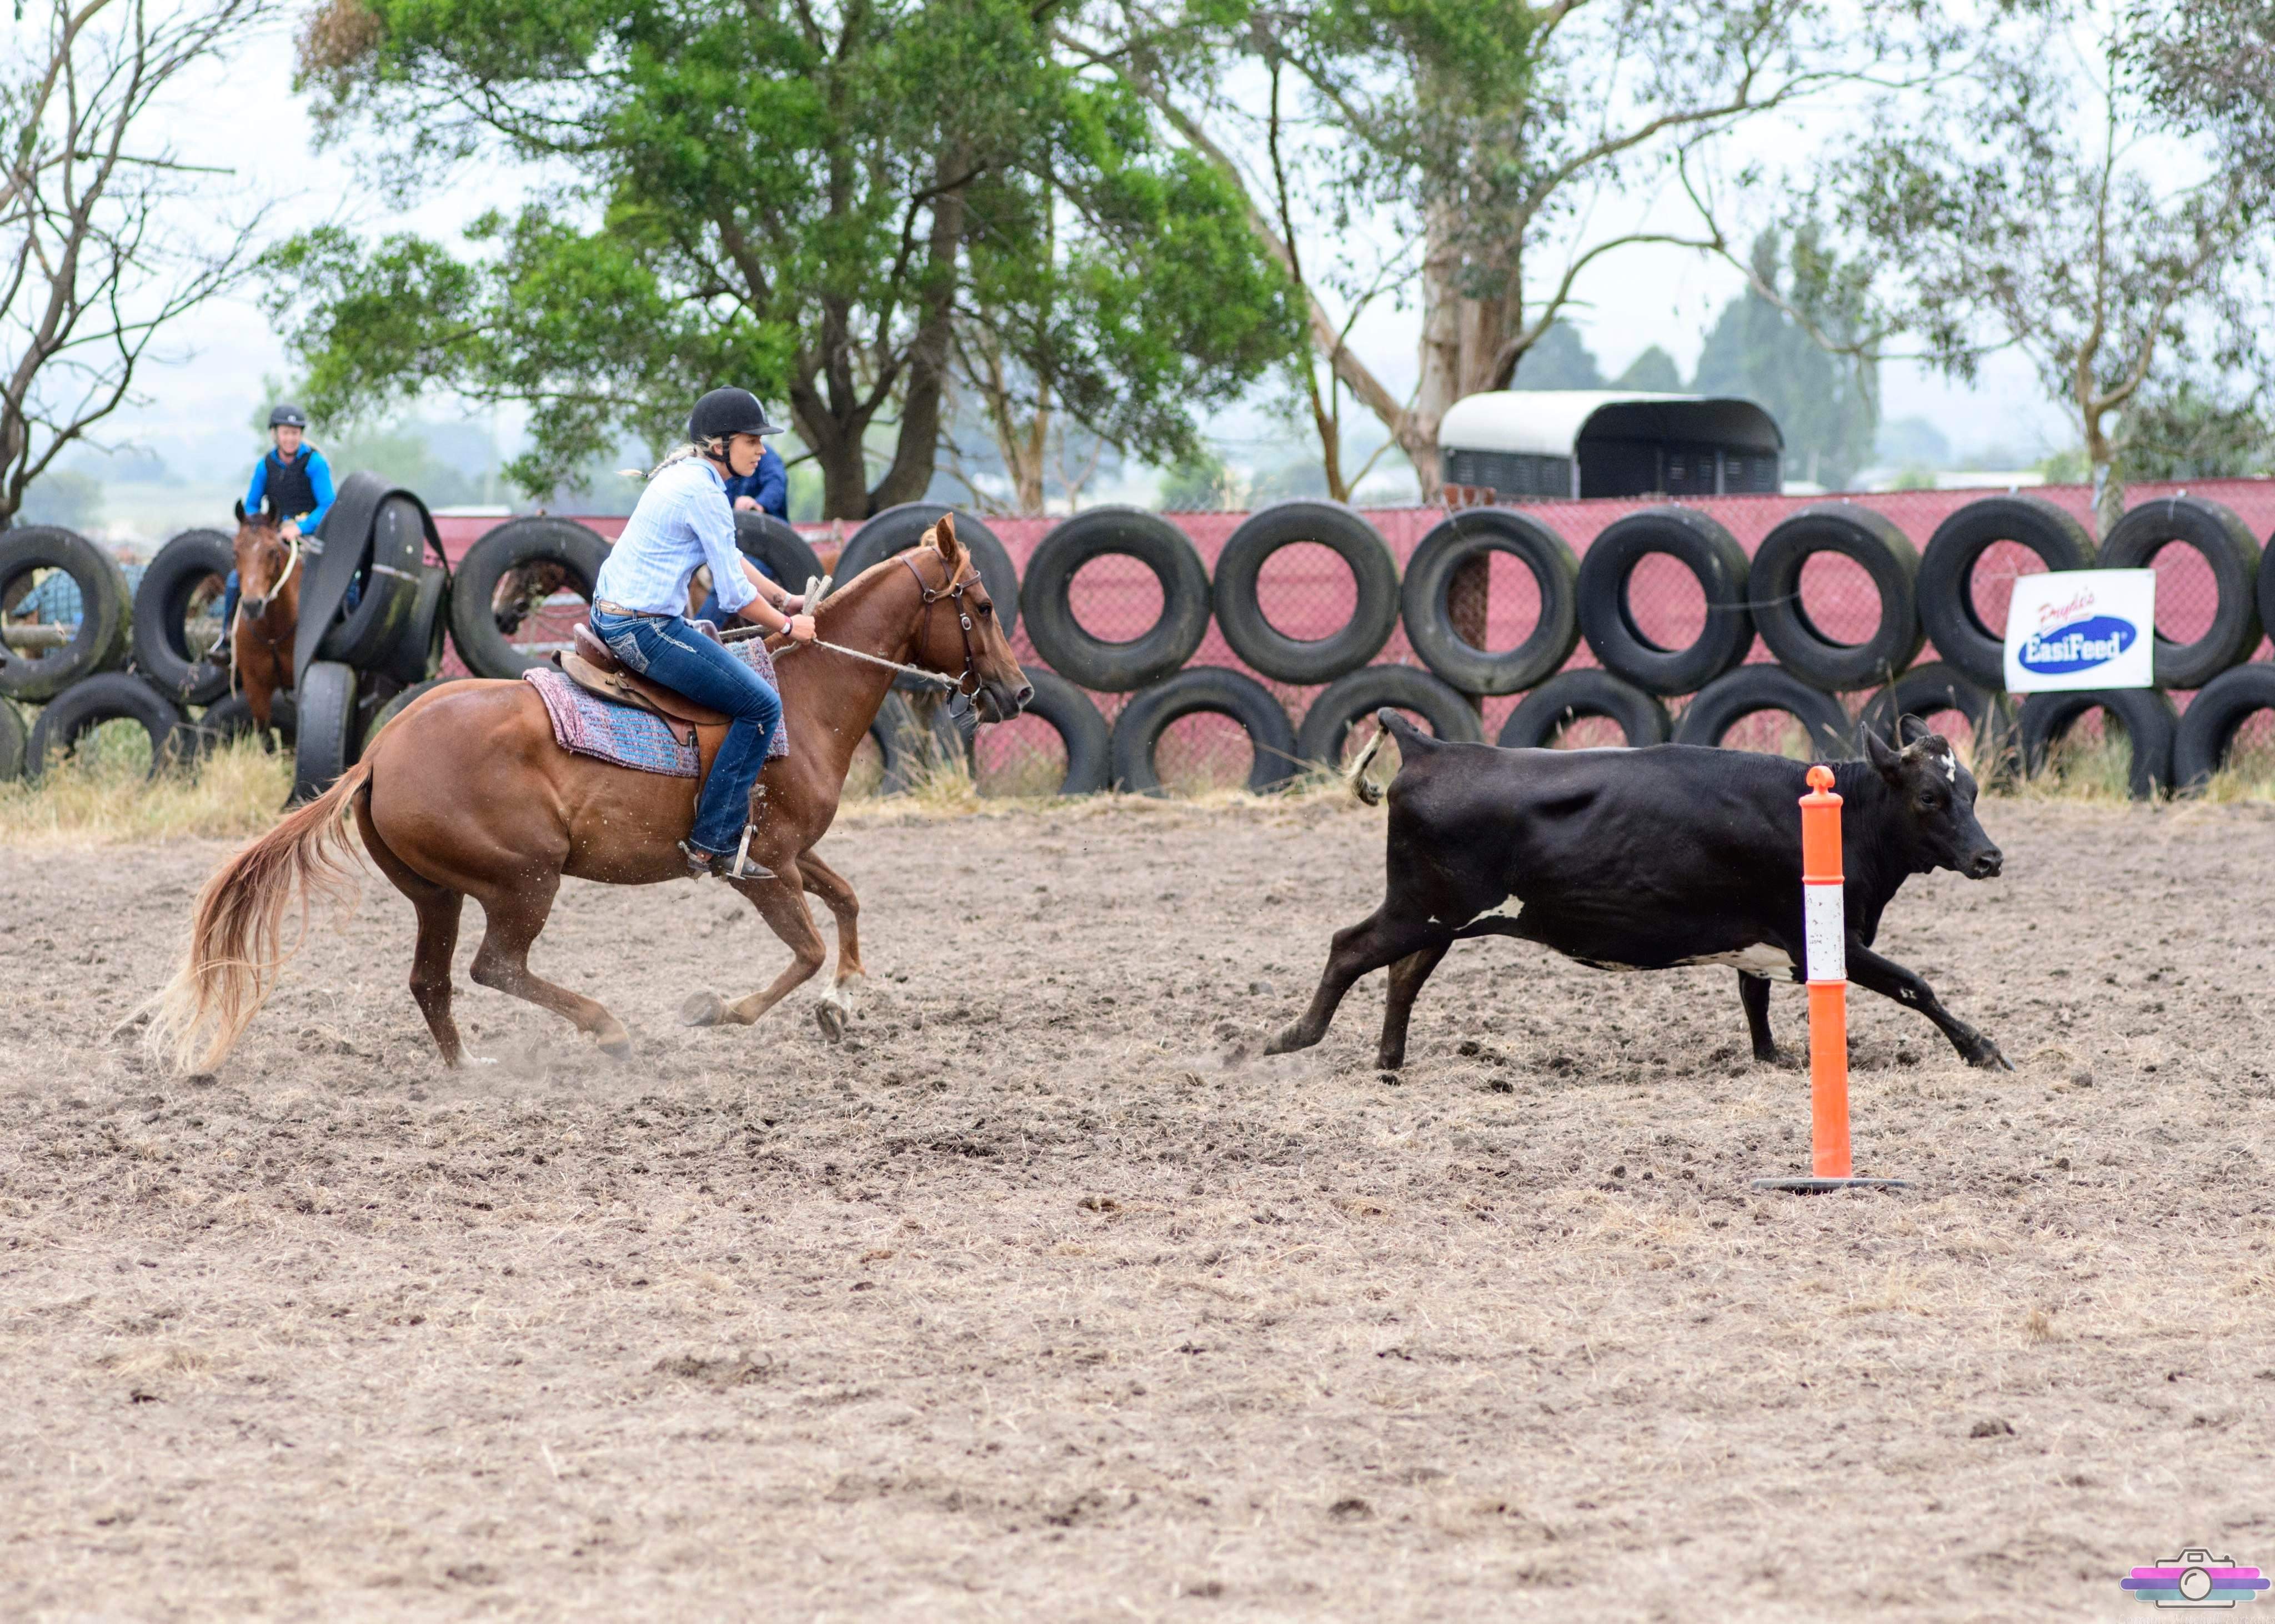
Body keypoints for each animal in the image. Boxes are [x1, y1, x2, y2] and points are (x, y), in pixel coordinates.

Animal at [1266, 712, 2011, 1073]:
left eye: (1972, 791)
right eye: (1929, 796)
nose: (1989, 856)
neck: (1844, 814)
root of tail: (1431, 747)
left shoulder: (1762, 940)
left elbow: (1754, 999)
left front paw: (1769, 1058)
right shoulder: (1826, 943)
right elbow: (1916, 984)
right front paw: (1981, 1049)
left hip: (1441, 918)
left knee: (1402, 975)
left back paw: (1389, 1061)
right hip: (1419, 908)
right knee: (1349, 948)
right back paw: (1289, 1037)